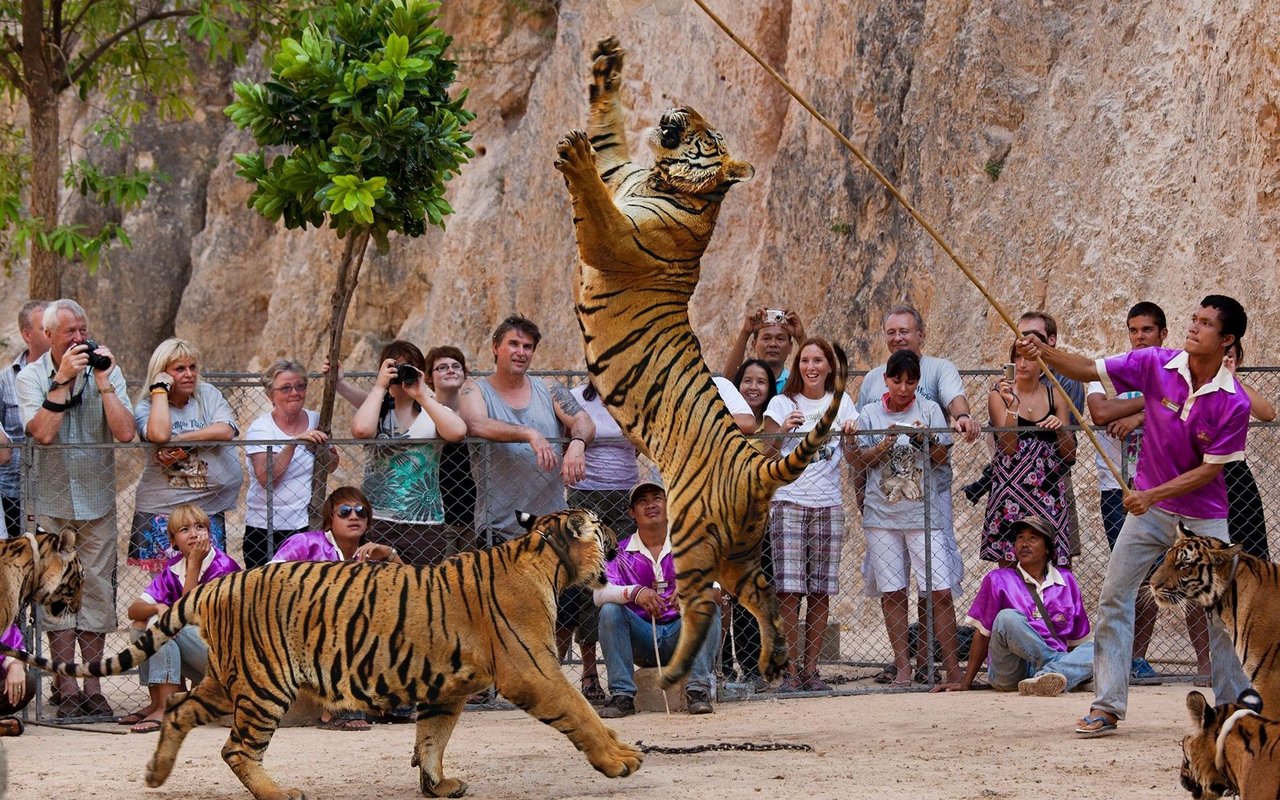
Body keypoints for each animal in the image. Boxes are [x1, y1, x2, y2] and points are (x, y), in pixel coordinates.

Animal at [552, 35, 844, 686]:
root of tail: (757, 466)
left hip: (688, 540)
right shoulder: (621, 169)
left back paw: (676, 674)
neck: (664, 179)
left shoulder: (616, 238)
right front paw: (606, 65)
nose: (678, 113)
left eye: (707, 135)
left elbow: (595, 207)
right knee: (762, 594)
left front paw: (573, 156)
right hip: (741, 552)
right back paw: (773, 658)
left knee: (701, 608)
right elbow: (608, 131)